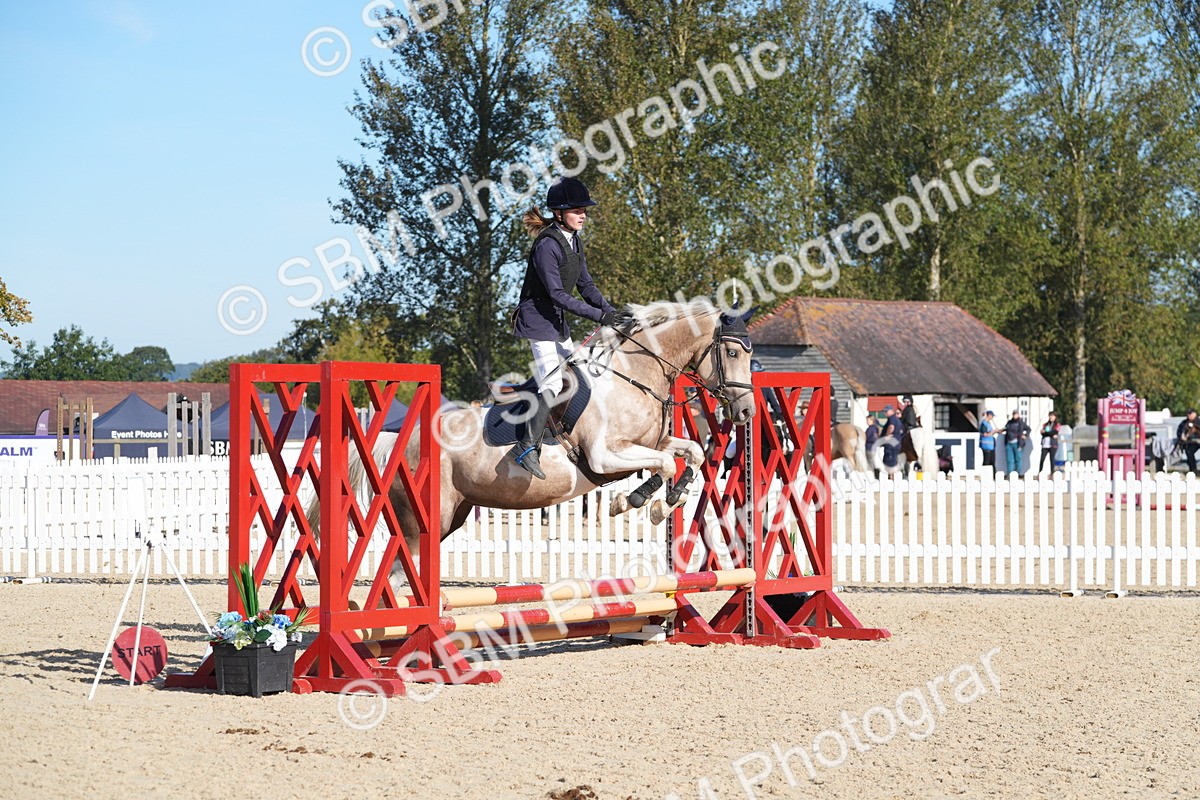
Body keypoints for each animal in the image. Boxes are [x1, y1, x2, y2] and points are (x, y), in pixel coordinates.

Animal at [310, 299, 757, 573]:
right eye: (733, 352)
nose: (747, 412)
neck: (633, 376)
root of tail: (399, 441)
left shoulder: (647, 444)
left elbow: (691, 453)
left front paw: (656, 499)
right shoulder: (605, 457)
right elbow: (664, 464)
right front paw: (643, 504)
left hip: (452, 516)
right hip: (423, 521)